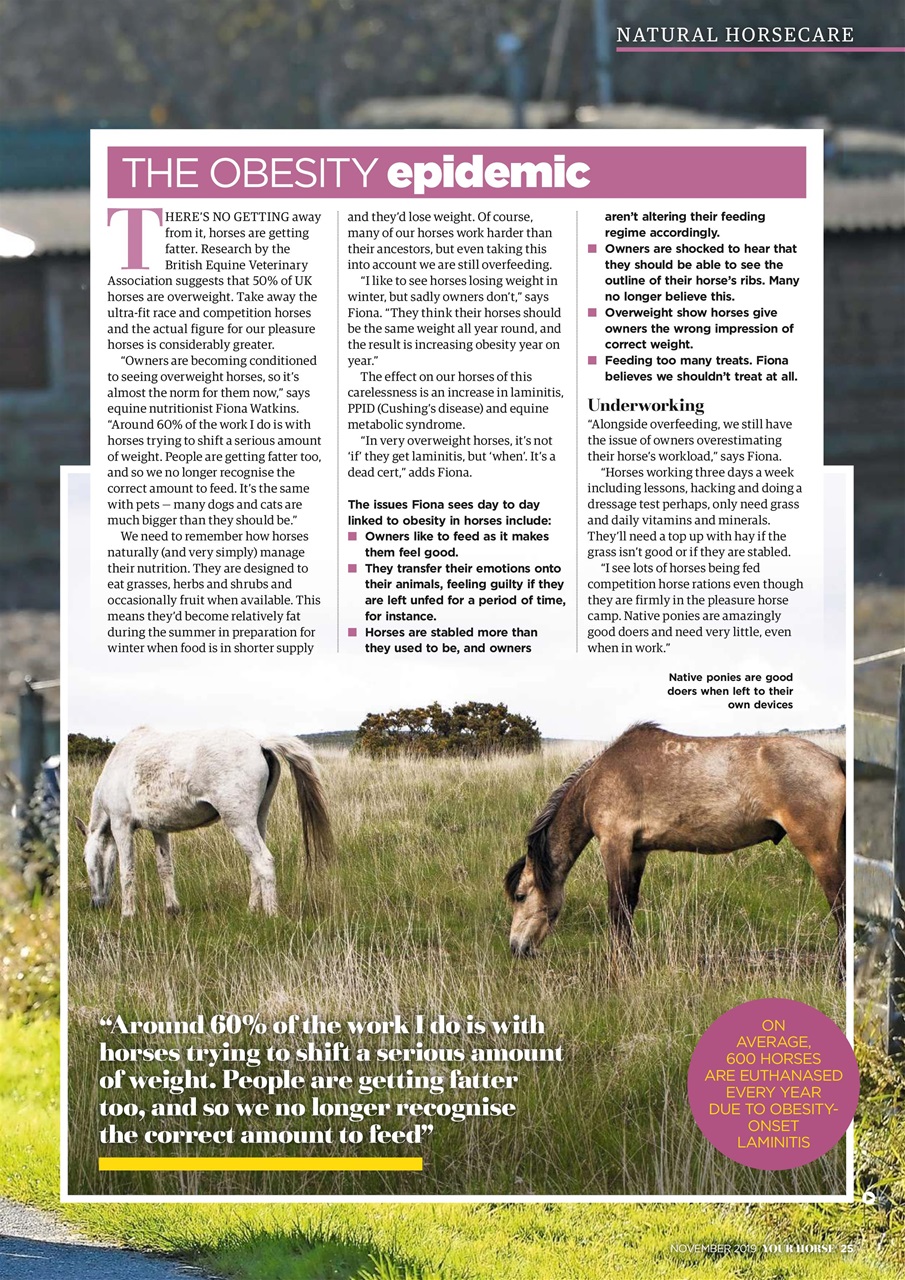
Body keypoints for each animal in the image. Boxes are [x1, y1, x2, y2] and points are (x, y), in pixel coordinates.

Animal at [74, 727, 333, 917]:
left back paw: (270, 915)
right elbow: (165, 868)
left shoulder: (121, 825)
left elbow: (126, 870)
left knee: (264, 861)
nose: (96, 904)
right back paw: (252, 910)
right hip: (258, 819)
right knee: (254, 864)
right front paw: (172, 908)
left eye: (85, 859)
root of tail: (260, 744)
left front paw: (128, 914)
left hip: (239, 821)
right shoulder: (159, 829)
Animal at [505, 723, 846, 978]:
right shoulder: (637, 852)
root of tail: (834, 761)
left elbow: (617, 909)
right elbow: (629, 906)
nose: (516, 948)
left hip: (820, 852)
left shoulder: (615, 844)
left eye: (520, 895)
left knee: (840, 906)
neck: (597, 779)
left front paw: (618, 969)